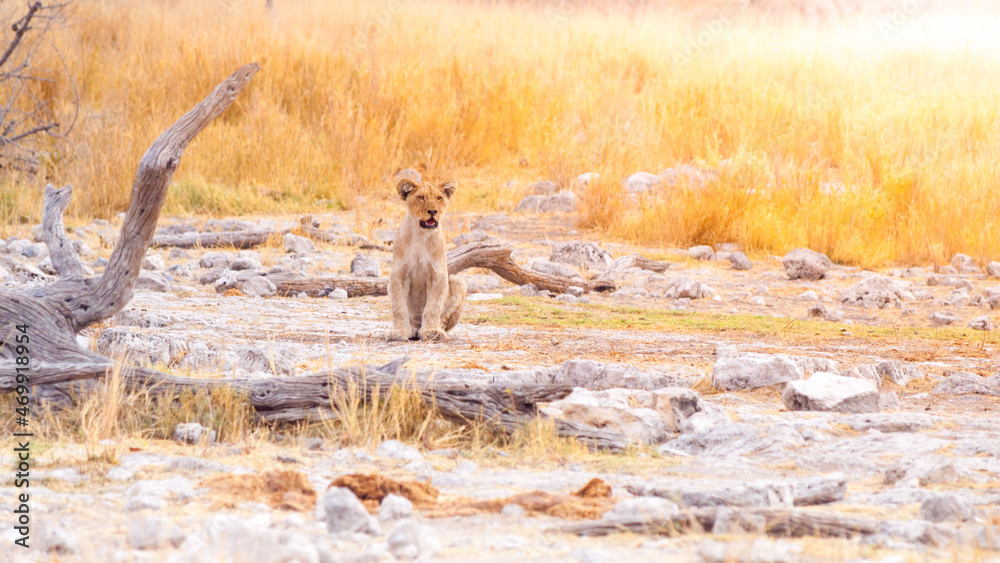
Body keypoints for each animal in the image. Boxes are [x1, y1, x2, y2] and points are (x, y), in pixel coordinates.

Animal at [387, 178, 466, 341]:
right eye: (421, 197)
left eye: (439, 198)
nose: (433, 211)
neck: (421, 235)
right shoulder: (398, 275)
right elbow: (398, 307)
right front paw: (399, 332)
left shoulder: (437, 274)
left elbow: (433, 307)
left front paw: (431, 331)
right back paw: (412, 329)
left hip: (459, 282)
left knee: (443, 319)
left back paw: (437, 330)